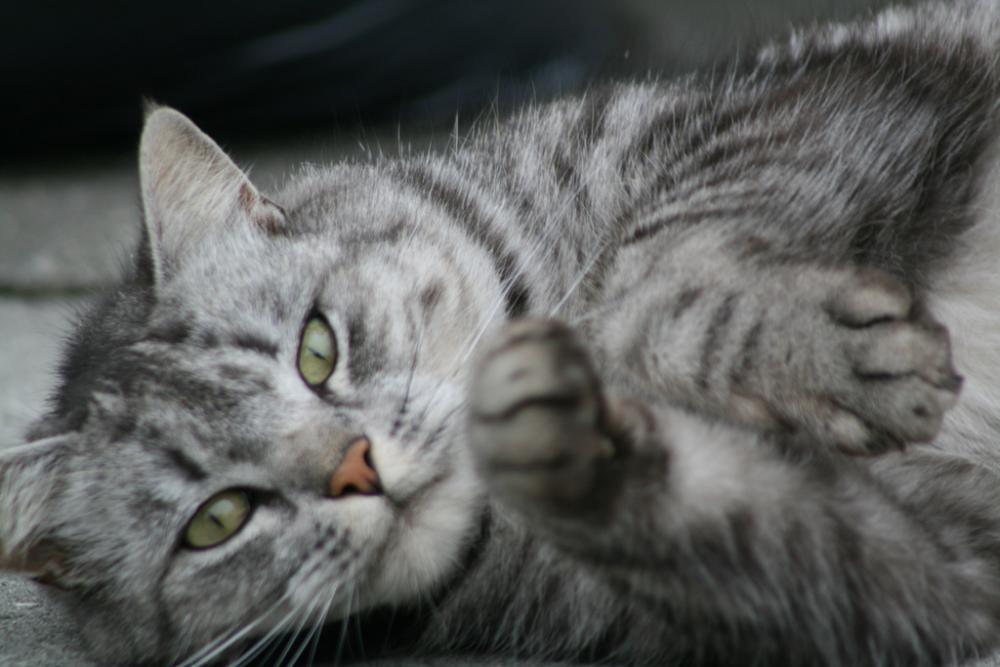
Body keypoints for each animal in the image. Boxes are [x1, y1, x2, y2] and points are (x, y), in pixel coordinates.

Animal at [5, 1, 1000, 667]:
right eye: (218, 520)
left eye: (317, 349)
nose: (356, 468)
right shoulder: (916, 564)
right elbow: (731, 515)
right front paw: (551, 433)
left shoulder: (821, 97)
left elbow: (643, 269)